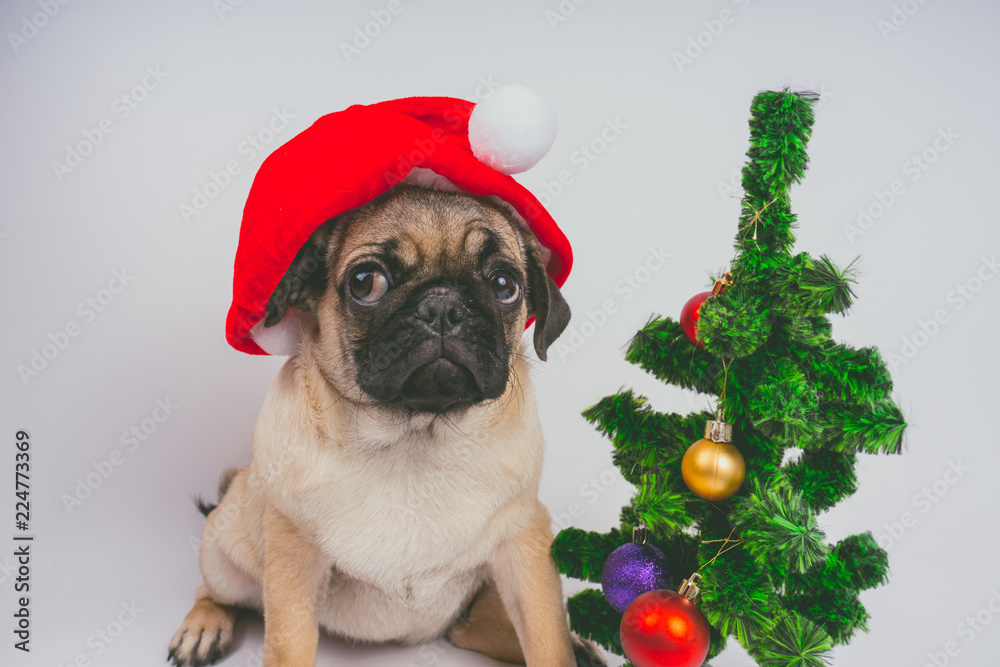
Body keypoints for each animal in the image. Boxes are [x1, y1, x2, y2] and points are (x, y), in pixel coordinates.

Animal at [168, 184, 604, 667]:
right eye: (365, 282)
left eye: (504, 285)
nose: (443, 305)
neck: (414, 439)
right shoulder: (291, 558)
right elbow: (289, 642)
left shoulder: (525, 543)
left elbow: (547, 637)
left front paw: (565, 648)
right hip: (225, 550)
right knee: (212, 590)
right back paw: (204, 627)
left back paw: (582, 649)